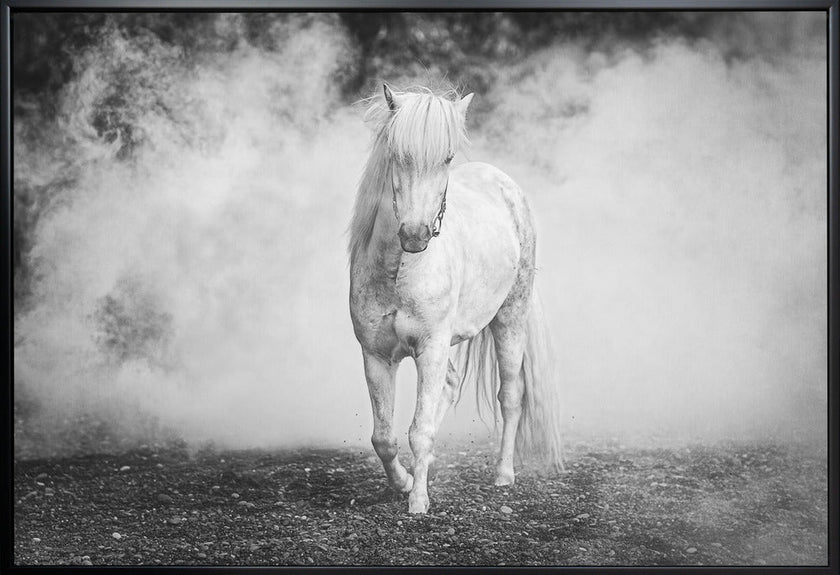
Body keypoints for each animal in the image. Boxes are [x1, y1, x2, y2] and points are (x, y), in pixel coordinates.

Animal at [348, 84, 563, 514]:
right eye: (397, 154)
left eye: (446, 158)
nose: (415, 235)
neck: (399, 270)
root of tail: (504, 184)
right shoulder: (375, 355)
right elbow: (384, 437)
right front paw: (404, 483)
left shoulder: (430, 348)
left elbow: (420, 430)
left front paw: (418, 502)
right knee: (448, 387)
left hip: (510, 320)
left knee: (510, 395)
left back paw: (503, 475)